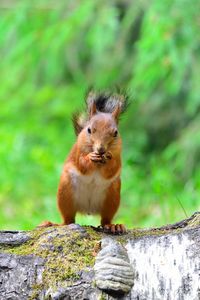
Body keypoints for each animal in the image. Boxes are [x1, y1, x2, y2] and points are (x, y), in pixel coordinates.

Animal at [40, 91, 128, 234]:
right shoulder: (77, 153)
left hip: (112, 196)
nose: (101, 149)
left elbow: (113, 168)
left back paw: (114, 226)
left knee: (105, 220)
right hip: (65, 192)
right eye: (89, 130)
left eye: (116, 133)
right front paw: (91, 157)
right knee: (68, 220)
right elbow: (81, 164)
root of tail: (88, 209)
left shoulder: (118, 156)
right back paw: (54, 224)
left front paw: (107, 158)